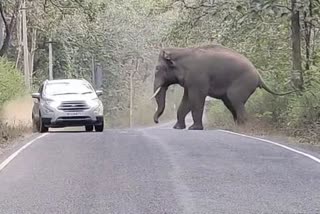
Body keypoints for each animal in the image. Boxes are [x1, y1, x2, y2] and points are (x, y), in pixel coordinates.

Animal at [150, 44, 296, 130]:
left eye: (157, 68)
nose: (156, 121)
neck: (182, 50)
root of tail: (259, 76)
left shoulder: (198, 78)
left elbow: (196, 99)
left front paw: (194, 128)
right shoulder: (190, 81)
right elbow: (186, 100)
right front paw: (177, 127)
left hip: (243, 84)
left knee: (235, 100)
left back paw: (243, 128)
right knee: (231, 103)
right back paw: (237, 126)